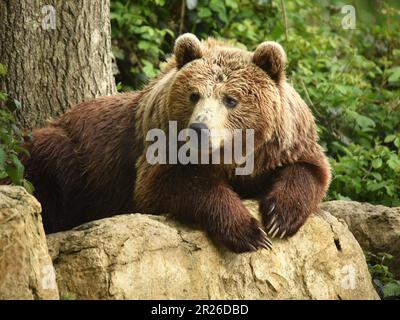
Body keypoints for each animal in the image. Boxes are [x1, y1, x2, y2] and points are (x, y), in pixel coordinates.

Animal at [25, 33, 332, 252]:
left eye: (230, 99)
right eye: (194, 95)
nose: (199, 129)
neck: (230, 155)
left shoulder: (282, 144)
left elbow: (310, 170)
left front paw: (280, 218)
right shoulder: (161, 147)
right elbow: (174, 184)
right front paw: (250, 232)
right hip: (70, 153)